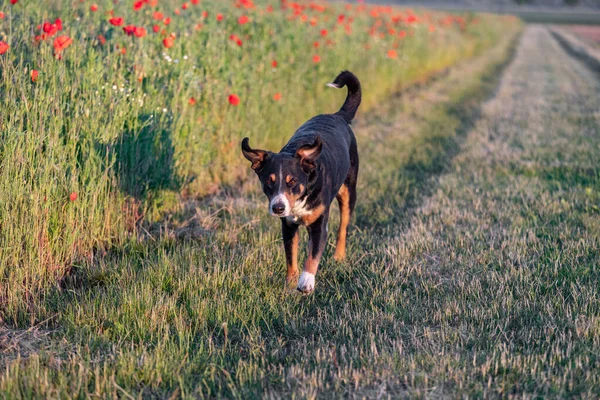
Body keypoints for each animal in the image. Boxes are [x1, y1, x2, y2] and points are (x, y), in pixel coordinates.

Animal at [240, 70, 360, 292]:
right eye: (269, 182)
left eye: (292, 181)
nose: (278, 207)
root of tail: (337, 115)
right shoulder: (288, 226)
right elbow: (291, 255)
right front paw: (290, 280)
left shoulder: (319, 225)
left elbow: (312, 256)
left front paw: (305, 281)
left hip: (349, 190)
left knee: (343, 227)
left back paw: (339, 257)